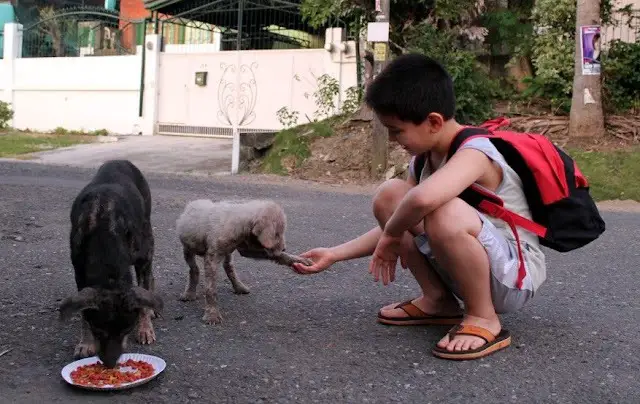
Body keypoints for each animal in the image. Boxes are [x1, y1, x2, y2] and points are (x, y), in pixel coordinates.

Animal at [59, 159, 162, 368]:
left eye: (126, 331)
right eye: (98, 331)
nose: (110, 364)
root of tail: (121, 160)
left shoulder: (142, 257)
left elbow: (142, 294)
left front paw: (145, 327)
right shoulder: (79, 271)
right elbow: (84, 312)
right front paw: (85, 343)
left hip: (147, 235)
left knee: (148, 277)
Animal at [176, 199, 308, 326]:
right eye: (277, 233)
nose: (284, 248)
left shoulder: (247, 249)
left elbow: (278, 256)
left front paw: (300, 260)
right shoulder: (211, 258)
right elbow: (210, 289)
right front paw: (212, 315)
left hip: (228, 254)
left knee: (229, 268)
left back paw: (239, 286)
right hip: (188, 249)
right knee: (194, 269)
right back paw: (189, 293)